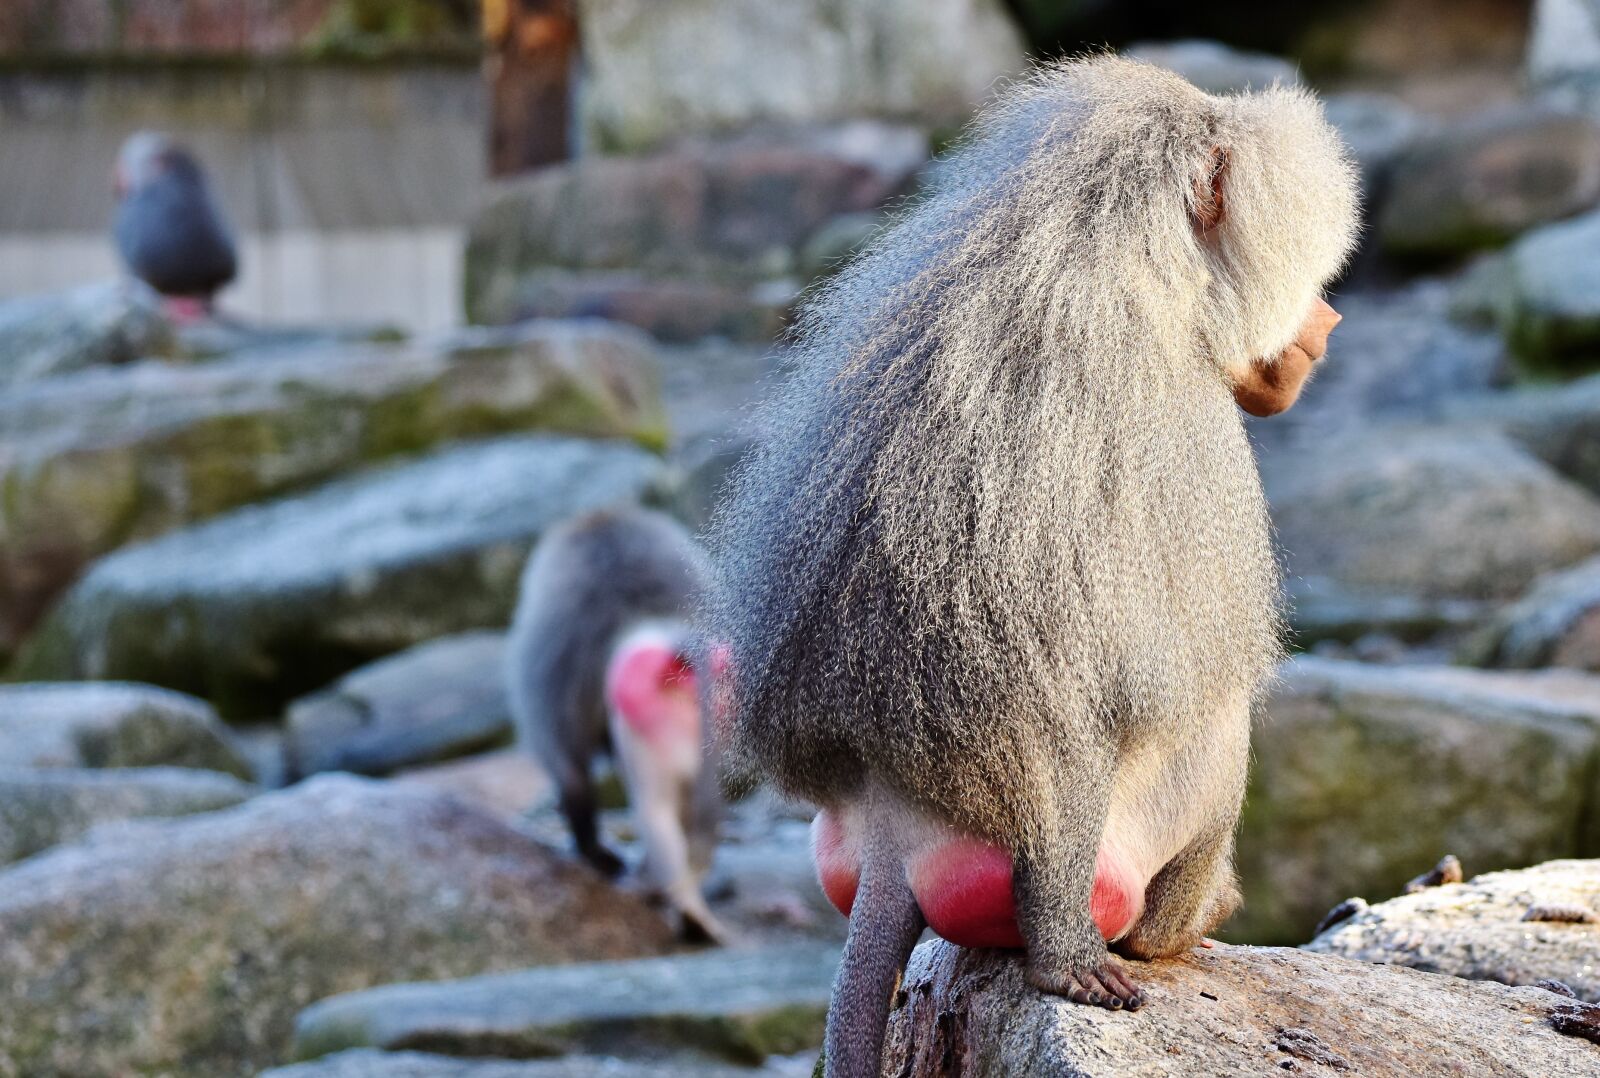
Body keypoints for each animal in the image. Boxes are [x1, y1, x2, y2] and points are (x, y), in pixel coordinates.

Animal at [704, 57, 1358, 1077]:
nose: (1326, 322)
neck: (1104, 247)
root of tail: (894, 824)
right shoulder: (1189, 424)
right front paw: (1073, 954)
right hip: (1121, 842)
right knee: (1211, 725)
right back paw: (1162, 932)